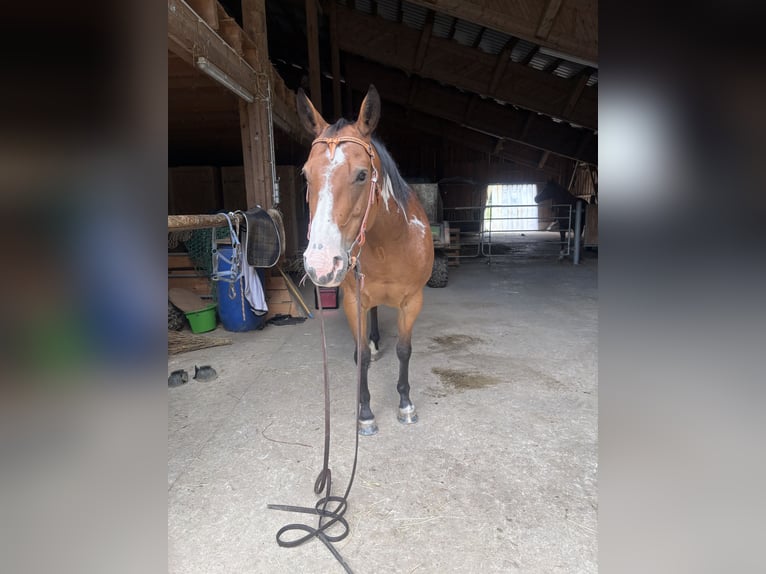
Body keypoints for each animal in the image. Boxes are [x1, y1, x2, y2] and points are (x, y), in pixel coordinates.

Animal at [296, 84, 434, 436]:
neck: (390, 243)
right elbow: (362, 357)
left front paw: (406, 405)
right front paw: (366, 413)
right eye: (306, 175)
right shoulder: (352, 300)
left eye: (361, 175)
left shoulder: (413, 301)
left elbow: (404, 350)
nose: (320, 264)